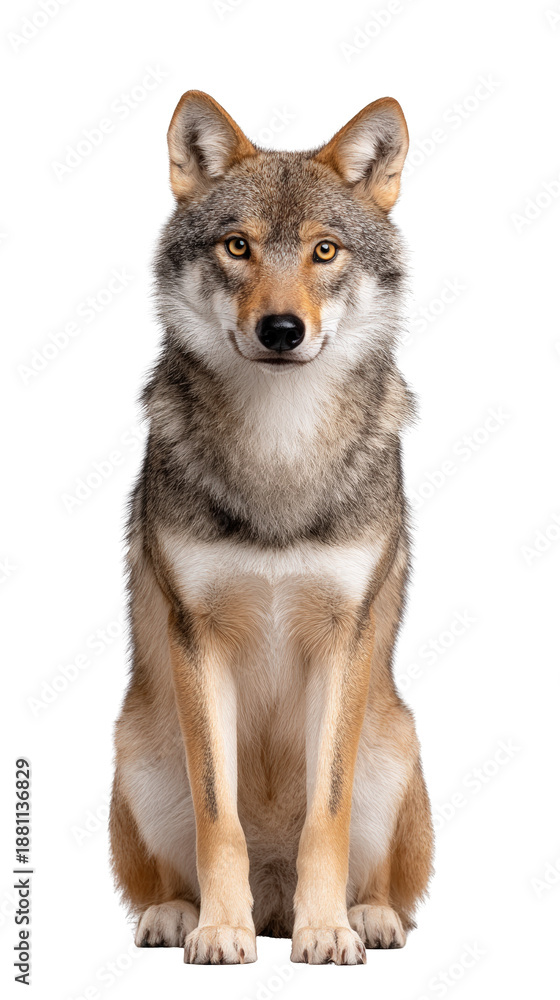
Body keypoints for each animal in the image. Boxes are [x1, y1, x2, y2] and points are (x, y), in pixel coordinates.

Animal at [109, 90, 434, 966]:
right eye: (238, 246)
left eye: (324, 250)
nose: (282, 329)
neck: (280, 448)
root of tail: (274, 895)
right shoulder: (197, 634)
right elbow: (218, 819)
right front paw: (223, 930)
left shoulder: (346, 634)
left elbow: (326, 815)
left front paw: (328, 934)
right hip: (139, 756)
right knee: (168, 874)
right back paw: (181, 915)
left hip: (397, 748)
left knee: (387, 883)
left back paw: (364, 917)